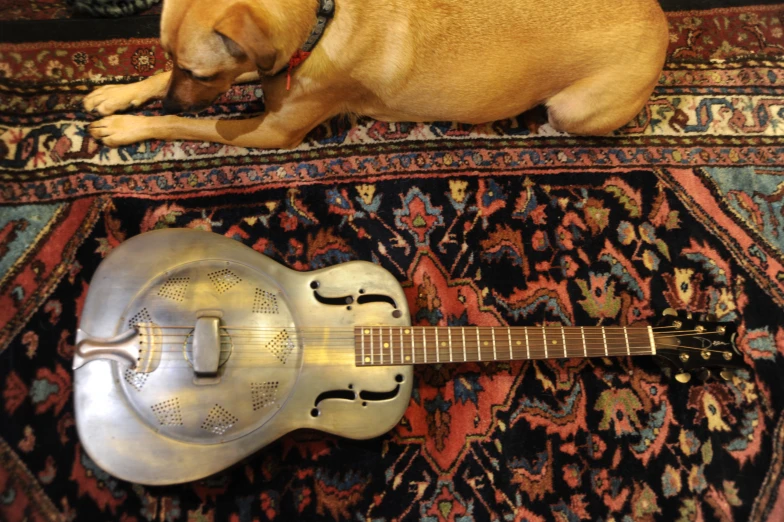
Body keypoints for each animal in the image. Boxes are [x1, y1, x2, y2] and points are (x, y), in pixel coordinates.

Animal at [84, 0, 668, 148]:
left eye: (199, 72)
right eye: (172, 58)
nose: (172, 101)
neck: (321, 19)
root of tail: (661, 18)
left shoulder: (270, 130)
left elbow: (193, 125)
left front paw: (131, 127)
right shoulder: (267, 72)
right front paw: (117, 96)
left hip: (573, 110)